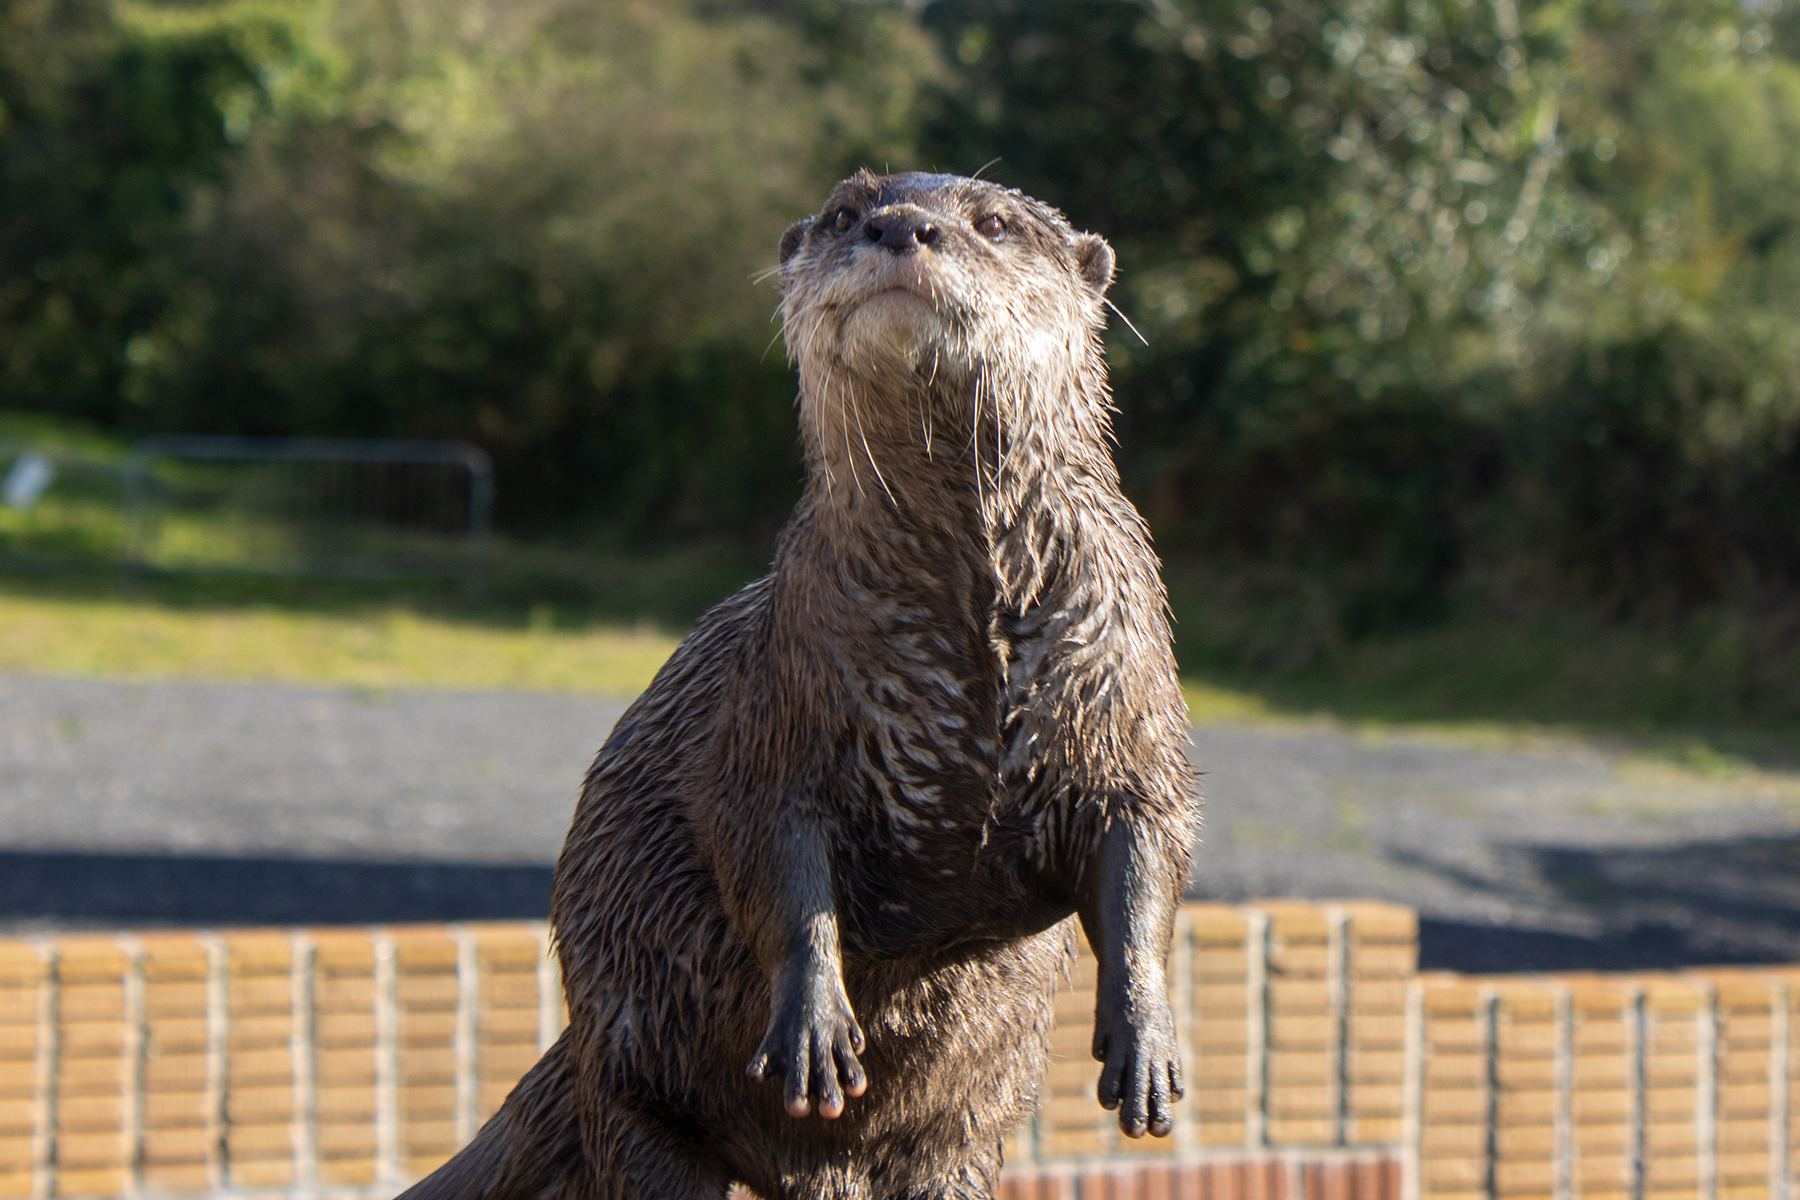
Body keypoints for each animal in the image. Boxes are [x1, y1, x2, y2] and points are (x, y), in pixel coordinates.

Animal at [401, 171, 1199, 1200]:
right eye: (844, 212)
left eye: (995, 222)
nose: (903, 226)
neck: (967, 652)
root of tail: (571, 1051)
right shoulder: (780, 705)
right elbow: (766, 849)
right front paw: (815, 1025)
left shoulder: (1125, 700)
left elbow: (1148, 847)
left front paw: (1146, 1042)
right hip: (630, 1075)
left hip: (966, 1136)